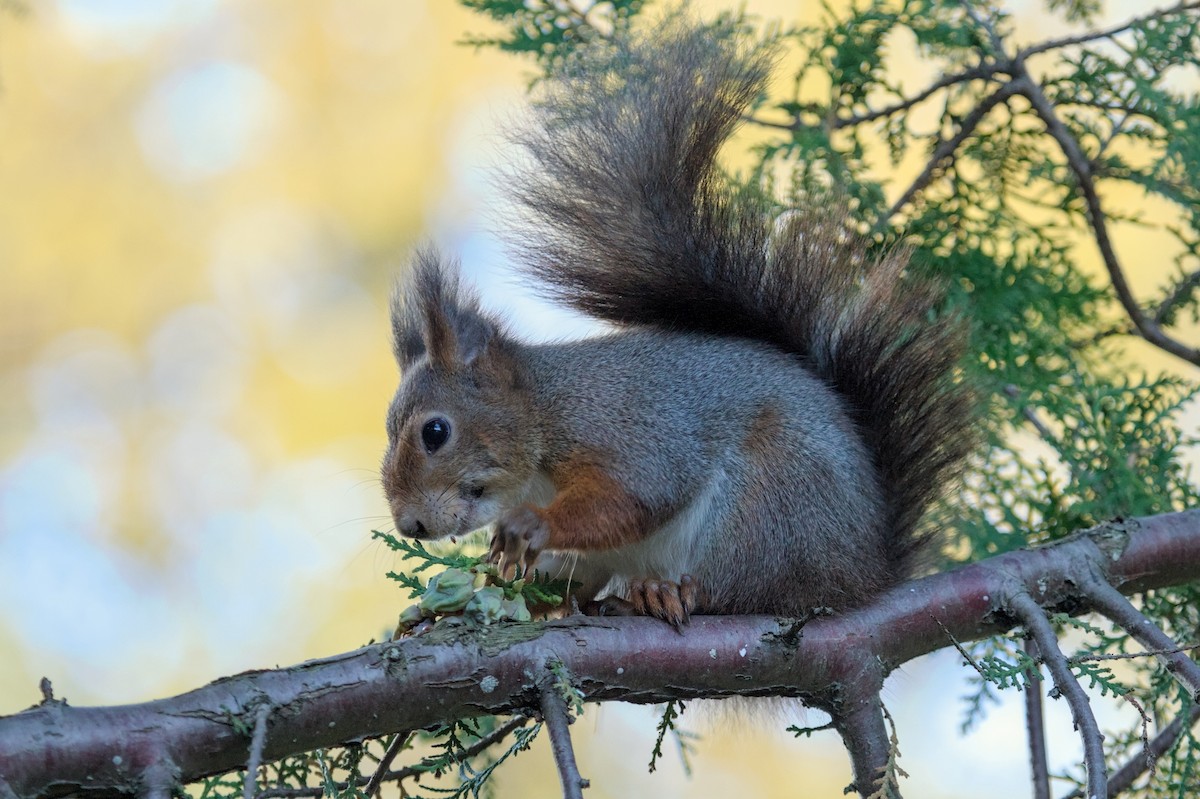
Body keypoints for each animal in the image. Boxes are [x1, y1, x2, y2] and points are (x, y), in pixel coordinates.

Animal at [381, 19, 975, 629]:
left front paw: (533, 525)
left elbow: (635, 497)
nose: (410, 526)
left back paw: (665, 593)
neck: (544, 411)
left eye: (435, 432)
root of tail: (866, 574)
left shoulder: (631, 430)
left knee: (745, 589)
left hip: (770, 506)